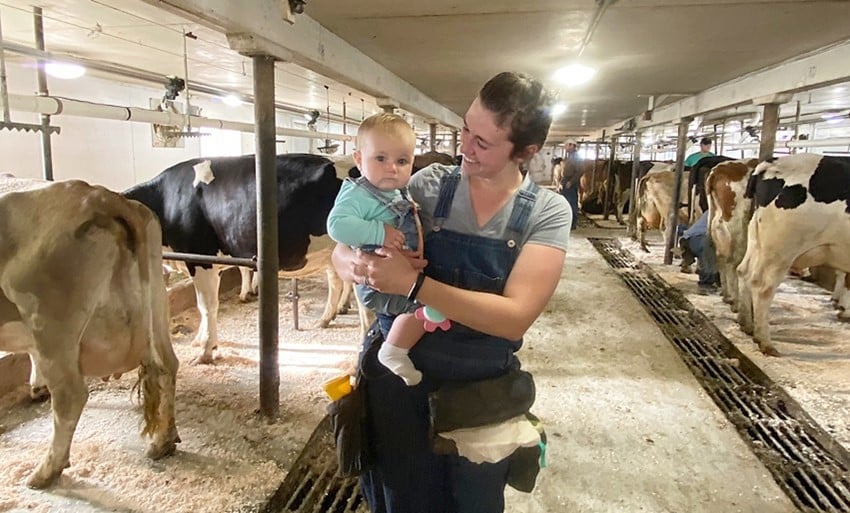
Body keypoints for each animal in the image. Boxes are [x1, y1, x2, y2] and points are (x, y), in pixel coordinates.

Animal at [0, 176, 179, 488]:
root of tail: (101, 196)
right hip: (156, 301)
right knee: (167, 365)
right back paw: (163, 442)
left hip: (50, 322)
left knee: (70, 396)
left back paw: (45, 472)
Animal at [126, 153, 344, 364]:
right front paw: (199, 340)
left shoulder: (200, 257)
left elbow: (207, 306)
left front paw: (206, 351)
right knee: (336, 283)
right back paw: (325, 318)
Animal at [736, 154, 848, 356]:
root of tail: (772, 162)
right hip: (782, 247)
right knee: (763, 287)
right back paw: (765, 342)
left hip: (757, 238)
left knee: (744, 271)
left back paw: (746, 324)